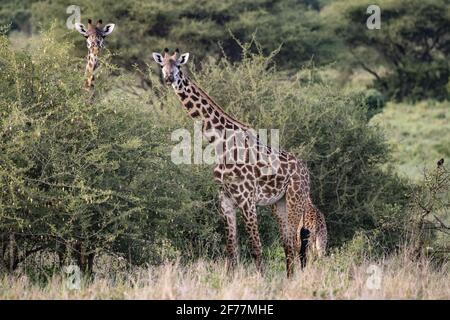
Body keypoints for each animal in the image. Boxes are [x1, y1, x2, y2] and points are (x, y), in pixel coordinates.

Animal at [153, 48, 326, 276]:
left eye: (178, 65)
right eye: (162, 65)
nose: (168, 78)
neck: (220, 143)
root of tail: (306, 170)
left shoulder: (246, 199)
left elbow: (255, 246)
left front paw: (261, 280)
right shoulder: (226, 200)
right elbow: (231, 249)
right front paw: (231, 279)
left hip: (296, 198)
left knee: (297, 244)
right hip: (278, 204)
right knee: (288, 244)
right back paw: (290, 279)